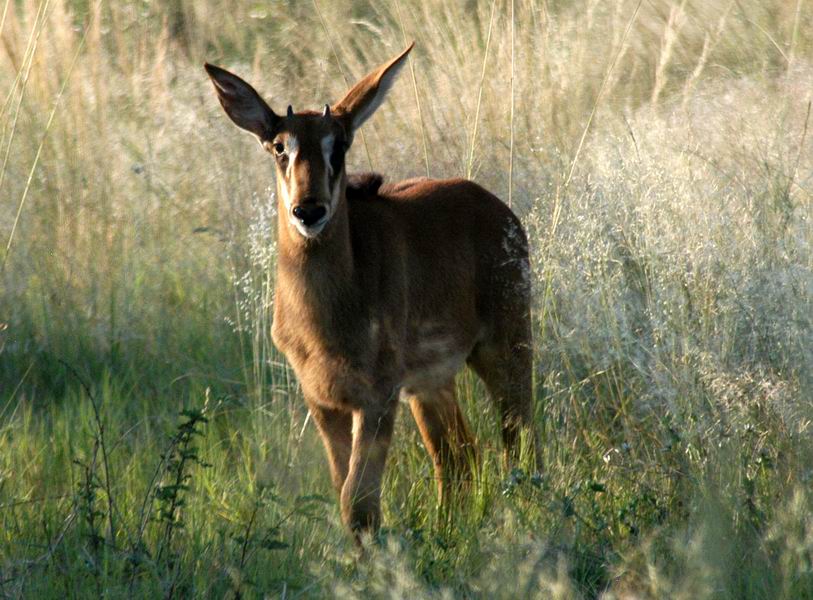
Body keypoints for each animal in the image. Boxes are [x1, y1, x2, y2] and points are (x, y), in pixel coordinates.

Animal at [205, 43, 532, 540]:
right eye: (280, 146)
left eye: (339, 145)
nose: (309, 211)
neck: (325, 317)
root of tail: (501, 212)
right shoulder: (322, 399)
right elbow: (346, 492)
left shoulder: (376, 395)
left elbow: (358, 502)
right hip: (430, 383)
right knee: (460, 457)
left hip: (504, 347)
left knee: (520, 439)